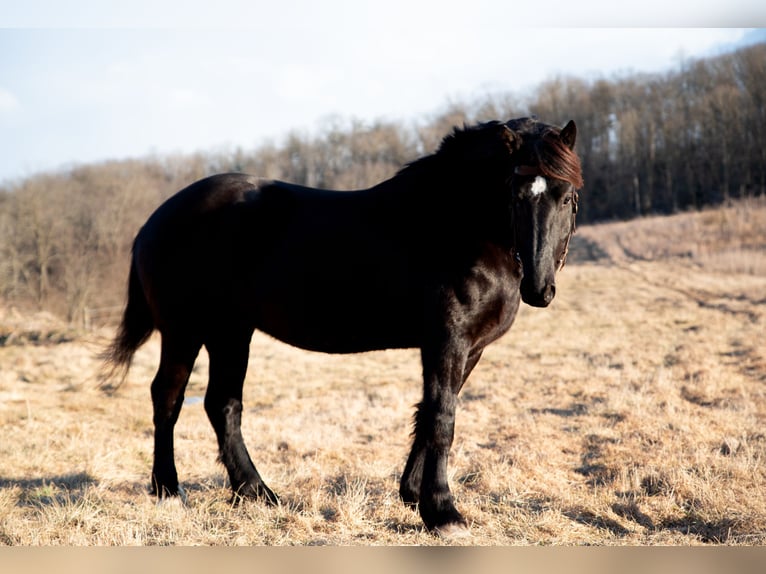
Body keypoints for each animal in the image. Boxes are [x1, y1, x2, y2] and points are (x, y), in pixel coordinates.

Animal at [105, 116, 584, 536]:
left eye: (565, 196)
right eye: (515, 195)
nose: (539, 288)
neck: (449, 225)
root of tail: (155, 219)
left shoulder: (470, 348)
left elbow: (427, 413)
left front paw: (413, 494)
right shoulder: (448, 341)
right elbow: (442, 418)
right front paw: (443, 513)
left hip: (231, 332)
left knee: (222, 405)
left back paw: (256, 493)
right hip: (184, 331)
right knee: (168, 398)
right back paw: (170, 491)